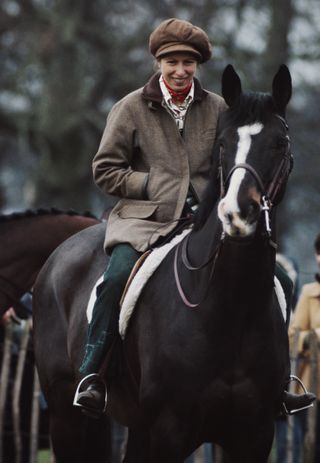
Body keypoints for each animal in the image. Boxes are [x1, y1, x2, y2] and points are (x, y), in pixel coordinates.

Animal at [31, 63, 292, 462]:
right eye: (222, 144)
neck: (229, 306)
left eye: (279, 143)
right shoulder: (170, 430)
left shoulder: (254, 435)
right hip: (65, 417)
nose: (237, 214)